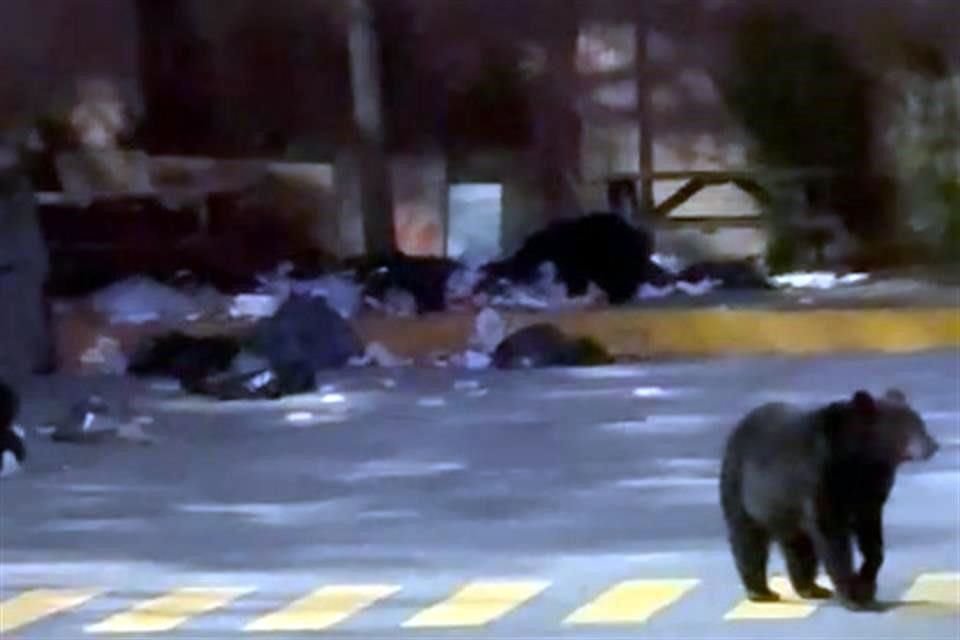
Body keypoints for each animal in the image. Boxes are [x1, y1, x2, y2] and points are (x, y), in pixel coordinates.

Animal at [720, 388, 936, 612]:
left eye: (920, 423)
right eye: (905, 426)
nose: (933, 446)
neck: (860, 457)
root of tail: (742, 424)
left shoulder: (872, 491)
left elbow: (871, 534)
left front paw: (866, 584)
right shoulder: (820, 476)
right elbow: (832, 536)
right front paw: (852, 595)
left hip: (784, 508)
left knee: (798, 546)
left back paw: (810, 588)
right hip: (738, 485)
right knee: (747, 538)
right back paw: (760, 591)